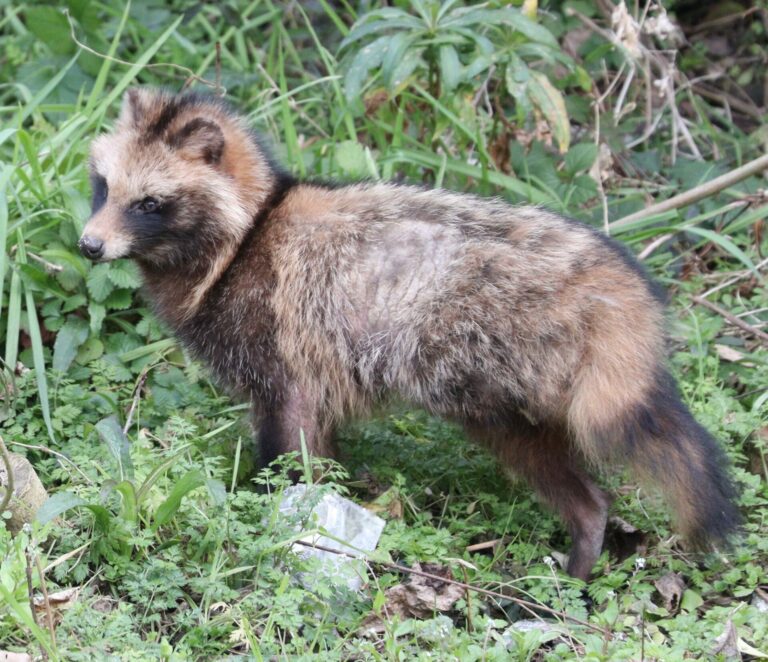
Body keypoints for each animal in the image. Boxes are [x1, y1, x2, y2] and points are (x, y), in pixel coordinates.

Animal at [78, 89, 736, 580]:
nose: (88, 246)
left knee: (577, 482)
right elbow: (323, 455)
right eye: (104, 187)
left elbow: (291, 454)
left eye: (151, 203)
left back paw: (578, 553)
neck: (248, 231)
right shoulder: (315, 367)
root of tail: (614, 281)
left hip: (496, 388)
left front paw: (278, 515)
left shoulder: (286, 353)